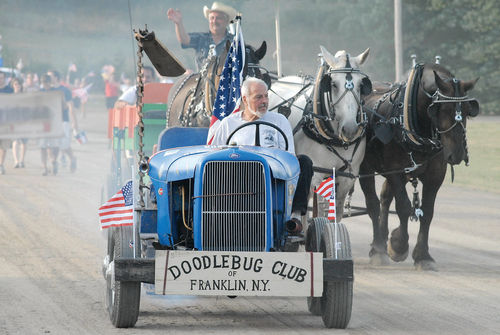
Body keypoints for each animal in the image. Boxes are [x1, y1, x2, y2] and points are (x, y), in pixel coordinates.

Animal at [360, 63, 480, 272]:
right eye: (441, 108)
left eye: (467, 110)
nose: (457, 154)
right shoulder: (396, 171)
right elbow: (404, 207)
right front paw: (398, 245)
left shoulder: (435, 175)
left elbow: (427, 212)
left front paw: (423, 256)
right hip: (365, 167)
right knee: (373, 204)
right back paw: (378, 248)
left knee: (384, 199)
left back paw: (383, 238)